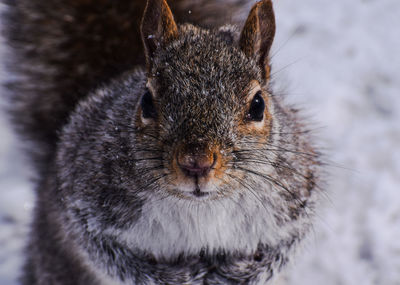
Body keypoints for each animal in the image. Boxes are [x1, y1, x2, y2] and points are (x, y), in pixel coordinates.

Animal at [2, 0, 322, 282]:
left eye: (258, 105)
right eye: (146, 102)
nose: (196, 162)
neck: (201, 206)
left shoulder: (294, 194)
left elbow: (284, 247)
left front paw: (244, 271)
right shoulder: (86, 196)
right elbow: (104, 251)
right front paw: (169, 275)